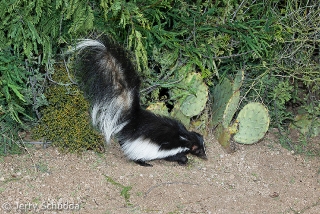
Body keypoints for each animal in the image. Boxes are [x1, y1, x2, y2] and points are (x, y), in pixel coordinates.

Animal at [71, 37, 208, 166]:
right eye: (199, 151)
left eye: (204, 148)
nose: (205, 157)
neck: (185, 137)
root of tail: (134, 118)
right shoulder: (170, 149)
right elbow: (174, 156)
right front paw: (183, 160)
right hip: (140, 147)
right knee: (136, 155)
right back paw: (144, 163)